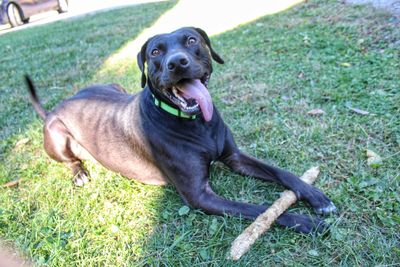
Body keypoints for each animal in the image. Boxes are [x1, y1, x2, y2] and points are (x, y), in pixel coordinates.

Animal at [26, 27, 336, 234]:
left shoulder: (234, 157)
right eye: (155, 52)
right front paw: (305, 221)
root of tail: (55, 107)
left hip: (114, 86)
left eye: (191, 40)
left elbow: (282, 172)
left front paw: (316, 197)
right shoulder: (200, 195)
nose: (177, 62)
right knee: (70, 160)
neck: (196, 123)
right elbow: (258, 210)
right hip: (56, 136)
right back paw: (79, 173)